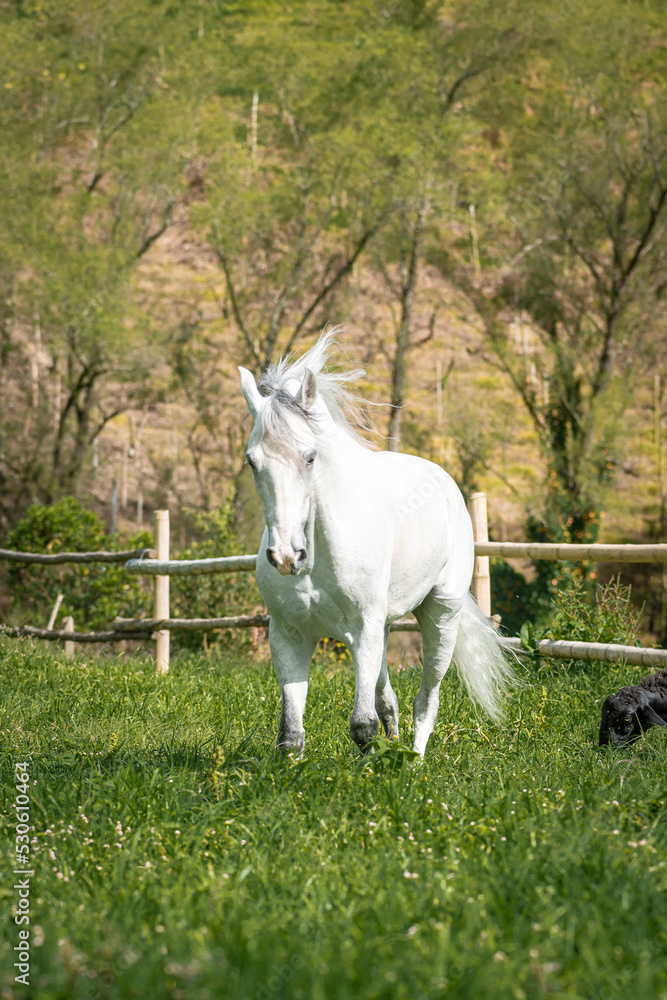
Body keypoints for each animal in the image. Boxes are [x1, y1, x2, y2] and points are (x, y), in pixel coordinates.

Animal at [239, 332, 515, 756]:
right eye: (252, 462)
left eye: (310, 457)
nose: (286, 556)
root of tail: (445, 481)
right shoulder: (289, 635)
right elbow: (290, 734)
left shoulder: (362, 630)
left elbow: (362, 725)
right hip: (384, 630)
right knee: (390, 701)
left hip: (440, 617)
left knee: (426, 701)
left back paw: (415, 760)